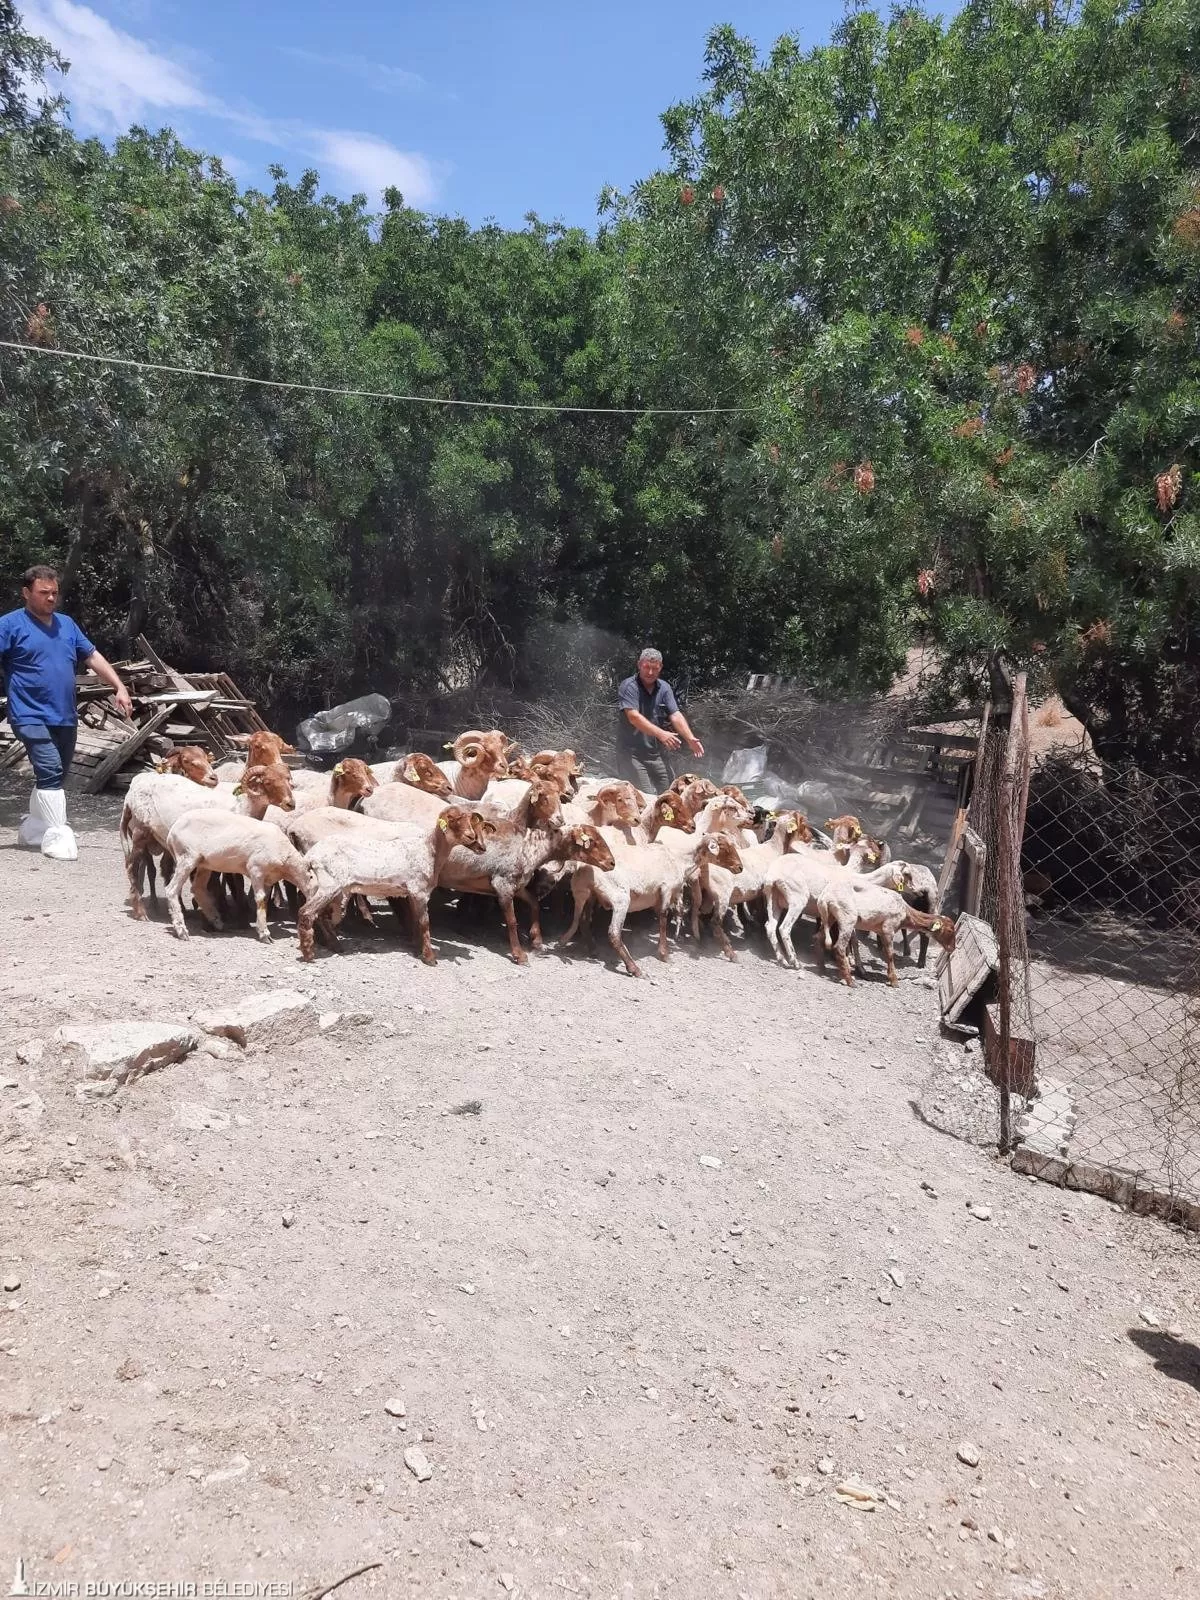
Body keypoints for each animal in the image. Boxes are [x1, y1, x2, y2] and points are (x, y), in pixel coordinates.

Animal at [300, 800, 499, 960]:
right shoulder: (419, 891)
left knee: (322, 915)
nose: (474, 840)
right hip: (329, 884)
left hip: (326, 887)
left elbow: (415, 921)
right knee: (307, 912)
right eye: (452, 819)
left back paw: (332, 944)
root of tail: (311, 856)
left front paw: (418, 948)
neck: (429, 850)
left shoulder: (410, 893)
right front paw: (429, 957)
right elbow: (424, 923)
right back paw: (309, 954)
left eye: (473, 824)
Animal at [563, 832, 742, 979]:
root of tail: (584, 868)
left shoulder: (657, 896)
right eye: (724, 847)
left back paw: (593, 950)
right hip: (620, 897)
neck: (680, 861)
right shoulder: (666, 888)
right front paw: (664, 954)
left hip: (589, 896)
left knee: (584, 921)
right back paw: (635, 969)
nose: (739, 867)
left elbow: (661, 917)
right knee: (613, 933)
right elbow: (663, 917)